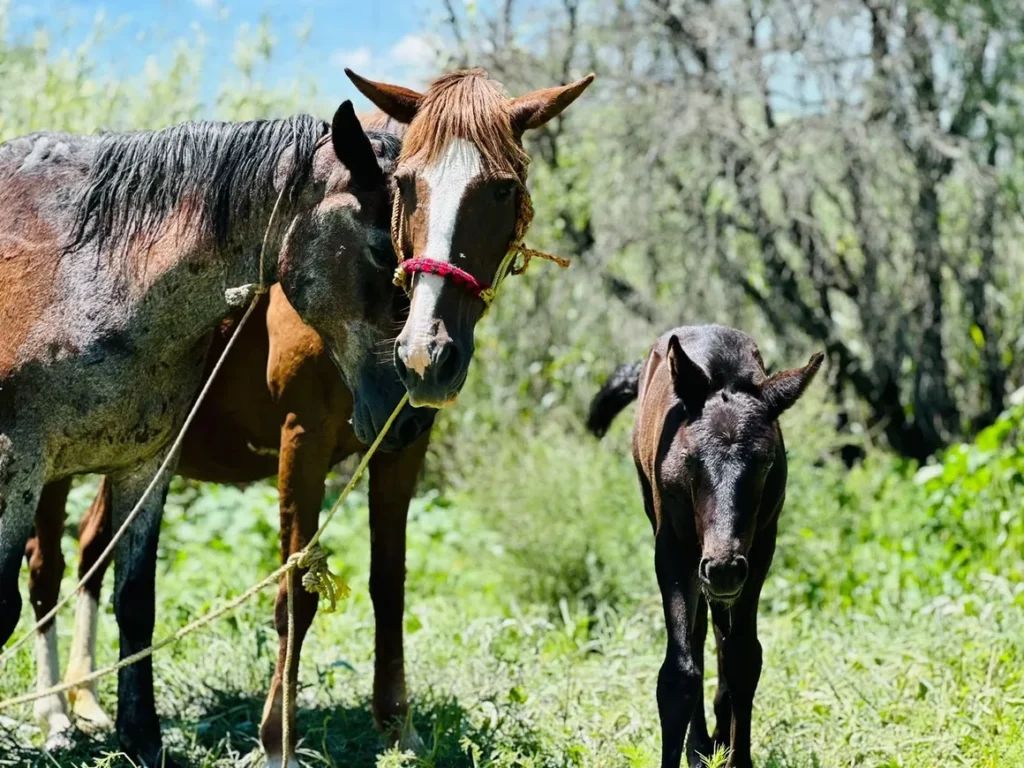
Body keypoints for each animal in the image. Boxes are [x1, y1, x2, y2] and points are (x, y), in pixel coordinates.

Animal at [0, 103, 431, 767]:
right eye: (386, 253)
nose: (410, 416)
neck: (89, 272)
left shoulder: (146, 466)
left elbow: (136, 603)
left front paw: (141, 739)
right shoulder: (21, 464)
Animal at [587, 325, 823, 768]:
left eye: (766, 463)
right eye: (691, 459)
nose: (723, 568)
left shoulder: (759, 550)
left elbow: (744, 658)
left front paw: (738, 756)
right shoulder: (674, 551)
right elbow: (678, 672)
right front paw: (690, 749)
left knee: (721, 633)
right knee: (698, 635)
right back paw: (699, 745)